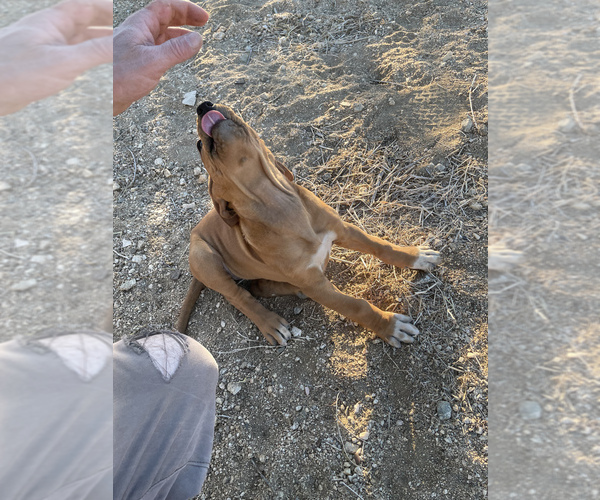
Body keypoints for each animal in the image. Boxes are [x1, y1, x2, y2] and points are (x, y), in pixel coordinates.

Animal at [176, 99, 438, 346]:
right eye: (198, 145)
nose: (203, 106)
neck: (282, 205)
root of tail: (194, 233)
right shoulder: (315, 284)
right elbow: (356, 305)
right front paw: (389, 326)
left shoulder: (342, 229)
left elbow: (382, 246)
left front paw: (415, 256)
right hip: (204, 258)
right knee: (239, 295)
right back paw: (270, 323)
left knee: (258, 287)